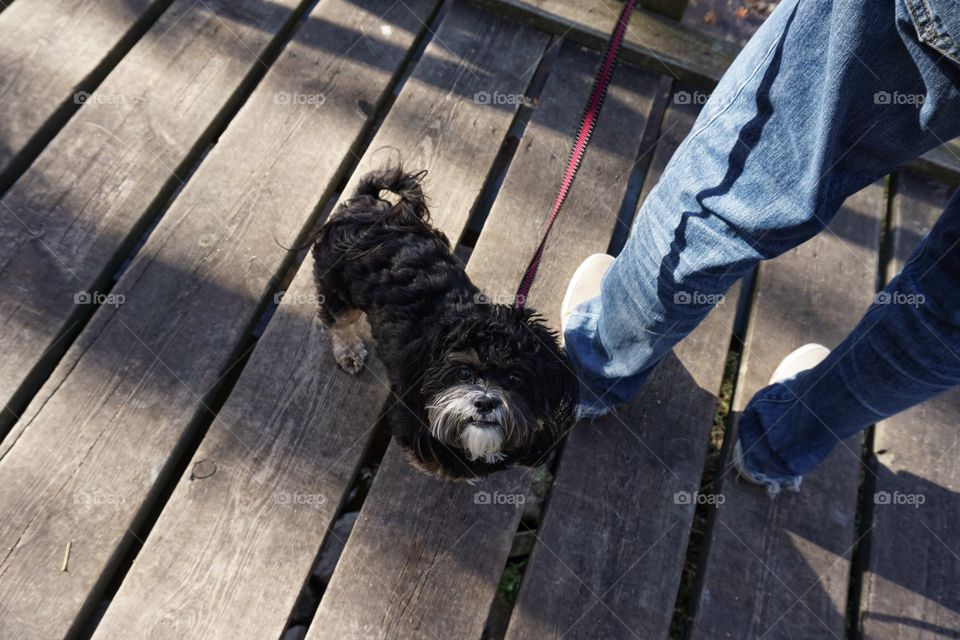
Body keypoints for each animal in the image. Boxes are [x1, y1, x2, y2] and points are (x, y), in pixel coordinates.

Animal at [314, 168, 576, 478]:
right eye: (463, 372)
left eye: (515, 378)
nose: (485, 401)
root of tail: (366, 202)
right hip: (338, 287)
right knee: (338, 320)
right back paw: (349, 352)